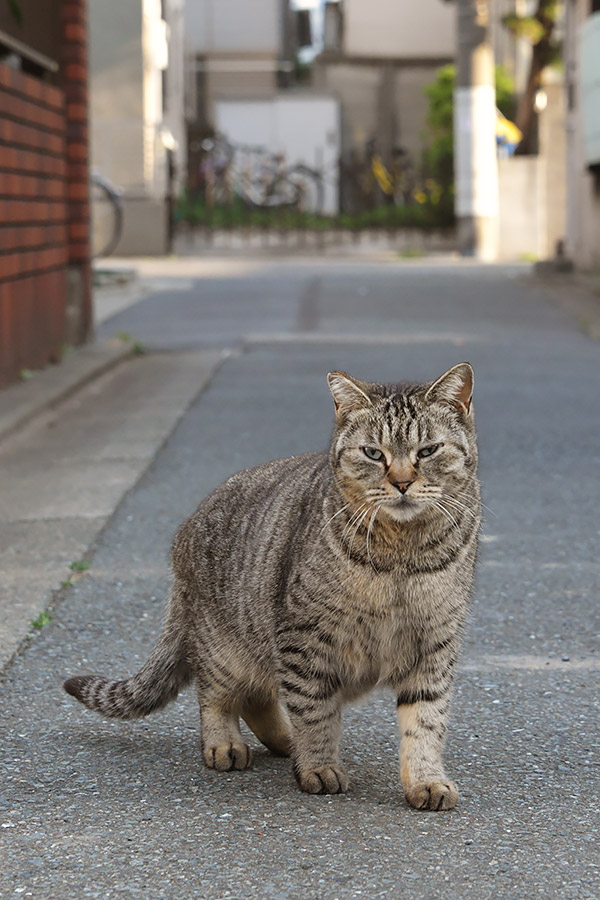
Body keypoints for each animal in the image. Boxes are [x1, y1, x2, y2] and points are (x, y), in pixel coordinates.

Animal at [65, 362, 480, 812]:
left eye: (428, 451)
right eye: (373, 453)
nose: (402, 482)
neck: (402, 554)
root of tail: (185, 531)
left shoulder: (435, 645)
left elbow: (425, 722)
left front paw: (426, 780)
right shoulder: (305, 638)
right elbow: (315, 713)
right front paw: (318, 766)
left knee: (259, 696)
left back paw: (284, 741)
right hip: (225, 647)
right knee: (217, 694)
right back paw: (227, 744)